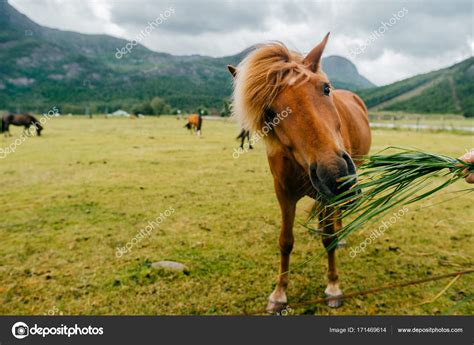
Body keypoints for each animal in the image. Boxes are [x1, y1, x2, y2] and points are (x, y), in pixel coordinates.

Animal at [230, 33, 370, 314]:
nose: (334, 173)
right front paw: (279, 293)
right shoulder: (283, 194)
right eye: (270, 112)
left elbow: (328, 238)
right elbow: (285, 241)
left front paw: (333, 287)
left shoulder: (329, 195)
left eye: (325, 88)